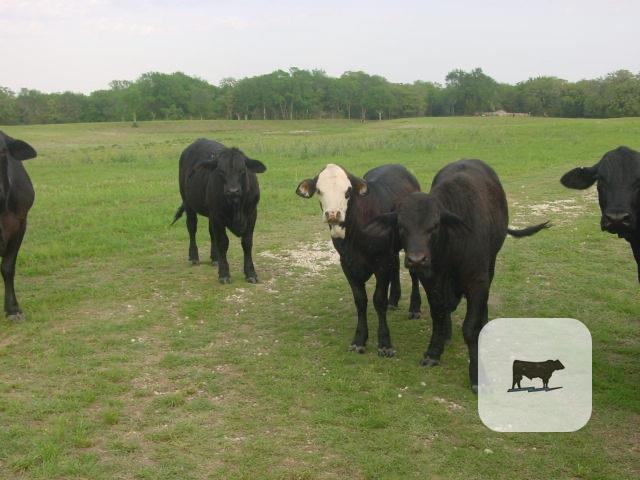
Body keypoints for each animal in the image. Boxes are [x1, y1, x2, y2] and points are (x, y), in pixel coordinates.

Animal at [172, 139, 266, 284]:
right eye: (221, 171)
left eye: (242, 170)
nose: (233, 191)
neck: (236, 207)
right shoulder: (218, 216)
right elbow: (223, 242)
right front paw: (224, 274)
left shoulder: (252, 214)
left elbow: (247, 242)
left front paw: (251, 273)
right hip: (188, 203)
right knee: (192, 227)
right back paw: (194, 256)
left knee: (211, 232)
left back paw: (215, 258)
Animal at [296, 164, 422, 357]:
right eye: (319, 190)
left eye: (348, 192)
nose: (333, 214)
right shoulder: (347, 264)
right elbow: (360, 301)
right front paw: (359, 340)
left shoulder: (381, 262)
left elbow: (378, 300)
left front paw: (384, 342)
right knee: (396, 265)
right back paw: (394, 300)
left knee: (413, 272)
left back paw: (414, 308)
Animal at [365, 159, 549, 392]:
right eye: (401, 226)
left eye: (434, 225)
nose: (416, 260)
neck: (450, 249)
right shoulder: (432, 282)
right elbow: (438, 315)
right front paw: (434, 351)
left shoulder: (477, 282)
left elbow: (470, 328)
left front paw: (477, 375)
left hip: (491, 264)